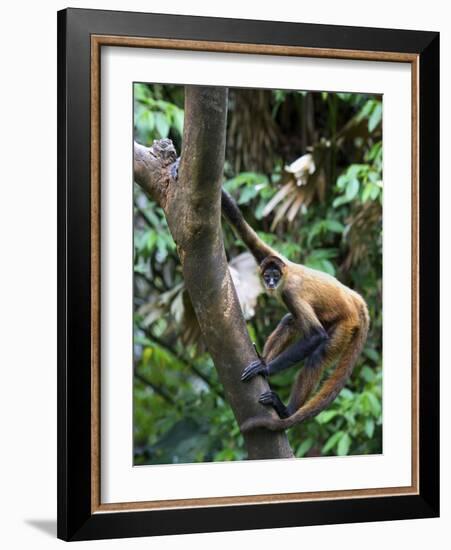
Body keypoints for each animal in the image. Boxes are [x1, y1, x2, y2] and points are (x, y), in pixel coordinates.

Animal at [222, 192, 370, 434]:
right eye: (267, 276)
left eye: (274, 276)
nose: (271, 283)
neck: (287, 275)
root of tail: (355, 299)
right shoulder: (275, 260)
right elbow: (245, 232)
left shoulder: (290, 291)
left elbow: (316, 336)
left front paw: (265, 368)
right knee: (290, 321)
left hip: (346, 324)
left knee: (318, 353)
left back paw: (285, 410)